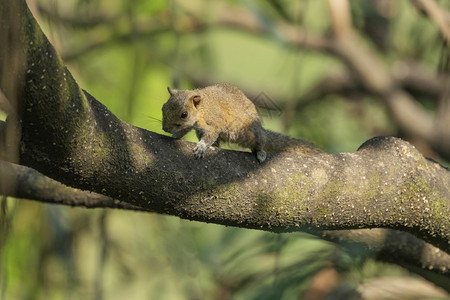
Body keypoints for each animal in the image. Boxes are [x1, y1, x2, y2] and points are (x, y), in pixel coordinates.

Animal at [161, 82, 320, 163]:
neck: (203, 109)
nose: (165, 128)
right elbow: (184, 130)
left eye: (184, 114)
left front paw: (201, 147)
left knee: (260, 142)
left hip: (252, 134)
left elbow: (210, 136)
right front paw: (175, 135)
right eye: (163, 107)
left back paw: (260, 153)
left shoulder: (214, 123)